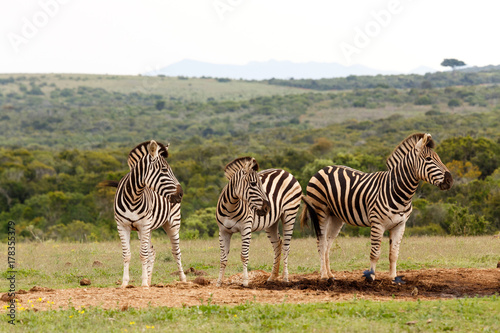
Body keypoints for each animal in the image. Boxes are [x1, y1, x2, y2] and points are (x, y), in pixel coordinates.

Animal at [100, 139, 187, 286]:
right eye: (164, 170)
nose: (181, 194)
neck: (133, 197)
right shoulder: (123, 226)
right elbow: (127, 255)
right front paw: (125, 283)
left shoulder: (144, 225)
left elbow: (143, 254)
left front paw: (144, 284)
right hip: (147, 229)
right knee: (152, 252)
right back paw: (150, 279)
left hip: (172, 223)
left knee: (176, 251)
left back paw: (183, 279)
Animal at [215, 157, 300, 286]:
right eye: (253, 184)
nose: (267, 208)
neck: (231, 208)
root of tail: (285, 172)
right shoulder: (223, 231)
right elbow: (223, 258)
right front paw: (219, 282)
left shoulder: (246, 228)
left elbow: (244, 256)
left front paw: (245, 282)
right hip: (271, 223)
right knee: (277, 244)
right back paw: (272, 277)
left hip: (289, 214)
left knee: (286, 247)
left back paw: (285, 278)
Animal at [300, 133, 454, 282]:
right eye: (428, 159)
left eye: (439, 158)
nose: (450, 180)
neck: (400, 193)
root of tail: (323, 168)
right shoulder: (377, 224)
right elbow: (375, 253)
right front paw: (371, 277)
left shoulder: (400, 225)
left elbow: (394, 254)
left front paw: (393, 278)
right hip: (320, 212)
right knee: (321, 242)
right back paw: (323, 276)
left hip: (336, 217)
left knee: (328, 243)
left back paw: (330, 275)